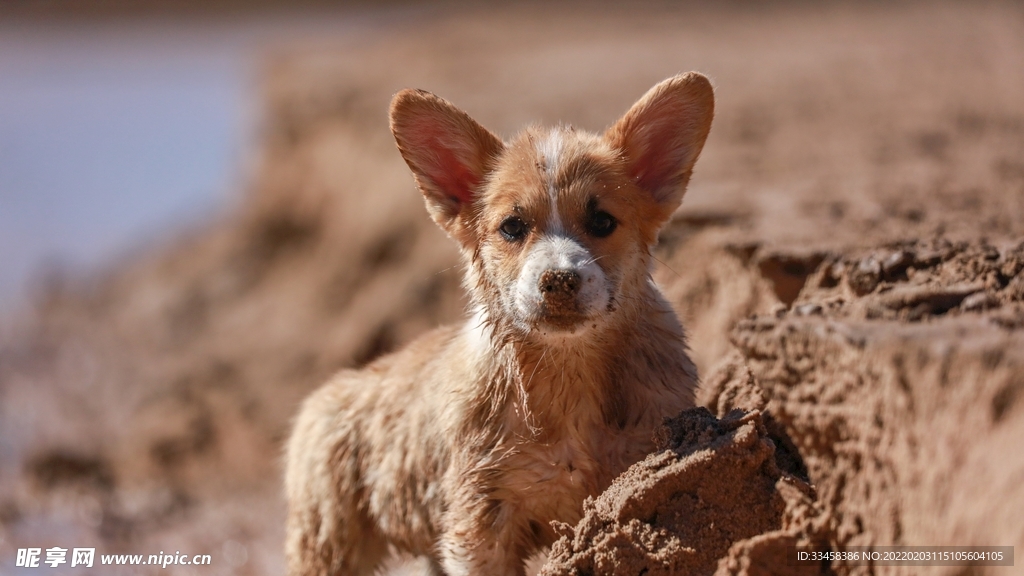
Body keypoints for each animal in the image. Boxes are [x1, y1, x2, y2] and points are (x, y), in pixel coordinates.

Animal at [284, 72, 716, 573]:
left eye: (602, 221)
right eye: (512, 227)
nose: (559, 280)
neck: (568, 374)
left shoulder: (644, 472)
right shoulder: (479, 522)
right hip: (328, 541)